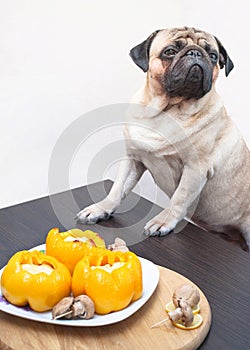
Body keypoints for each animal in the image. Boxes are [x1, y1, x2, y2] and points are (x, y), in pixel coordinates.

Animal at [76, 27, 250, 252]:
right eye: (170, 51)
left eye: (213, 56)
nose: (195, 53)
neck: (167, 111)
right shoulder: (133, 159)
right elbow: (117, 189)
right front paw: (101, 209)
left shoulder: (195, 168)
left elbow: (179, 199)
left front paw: (163, 221)